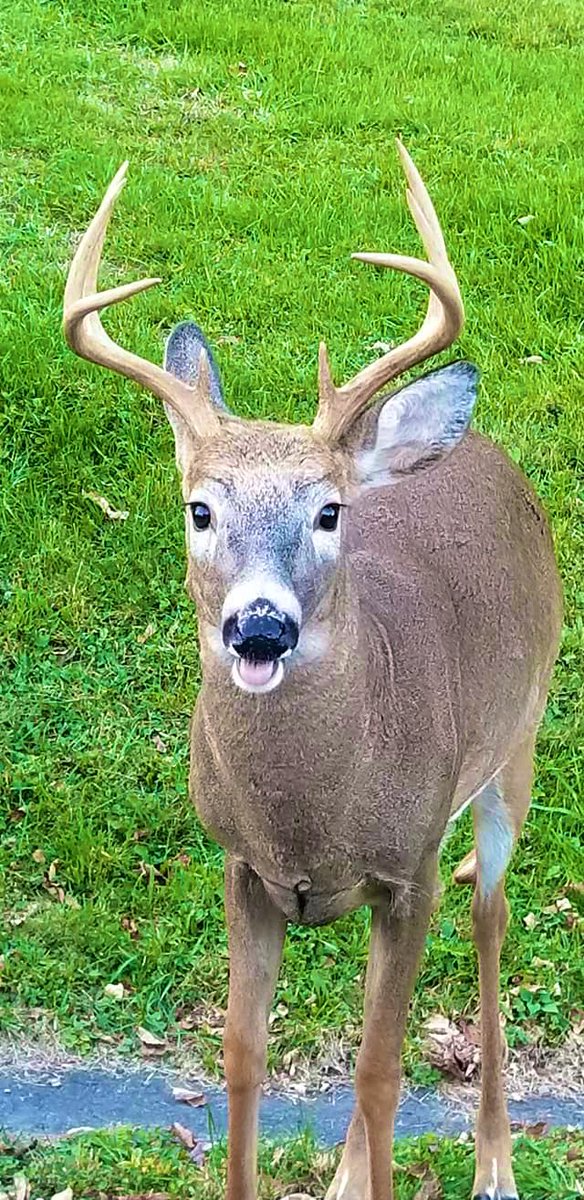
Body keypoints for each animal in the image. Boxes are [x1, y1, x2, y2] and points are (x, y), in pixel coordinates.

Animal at [63, 141, 562, 1200]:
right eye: (200, 508)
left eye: (329, 512)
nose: (260, 628)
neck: (311, 814)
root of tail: (480, 450)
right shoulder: (242, 865)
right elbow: (241, 1058)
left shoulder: (409, 867)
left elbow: (379, 1071)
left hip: (517, 745)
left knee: (492, 918)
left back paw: (495, 1162)